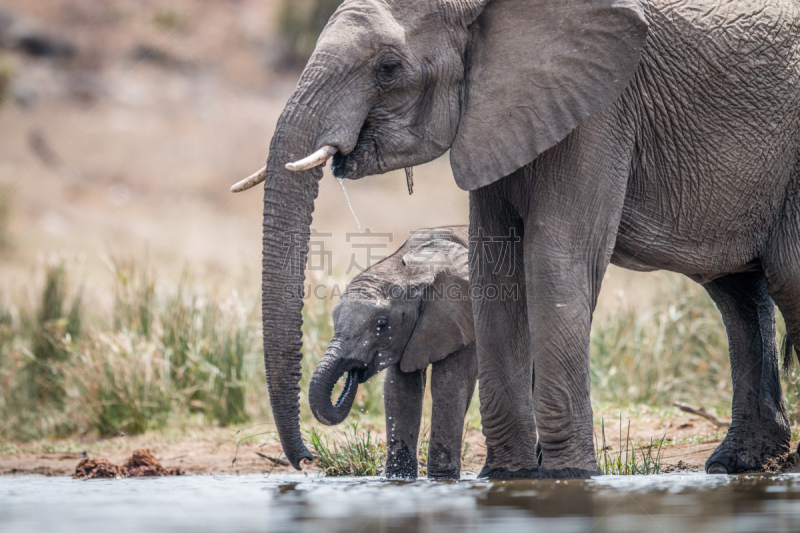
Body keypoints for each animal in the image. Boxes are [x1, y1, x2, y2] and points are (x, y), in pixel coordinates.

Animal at [310, 224, 478, 478]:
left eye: (381, 325)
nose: (353, 373)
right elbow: (401, 389)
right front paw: (400, 478)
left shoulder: (463, 317)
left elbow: (449, 384)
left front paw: (442, 480)